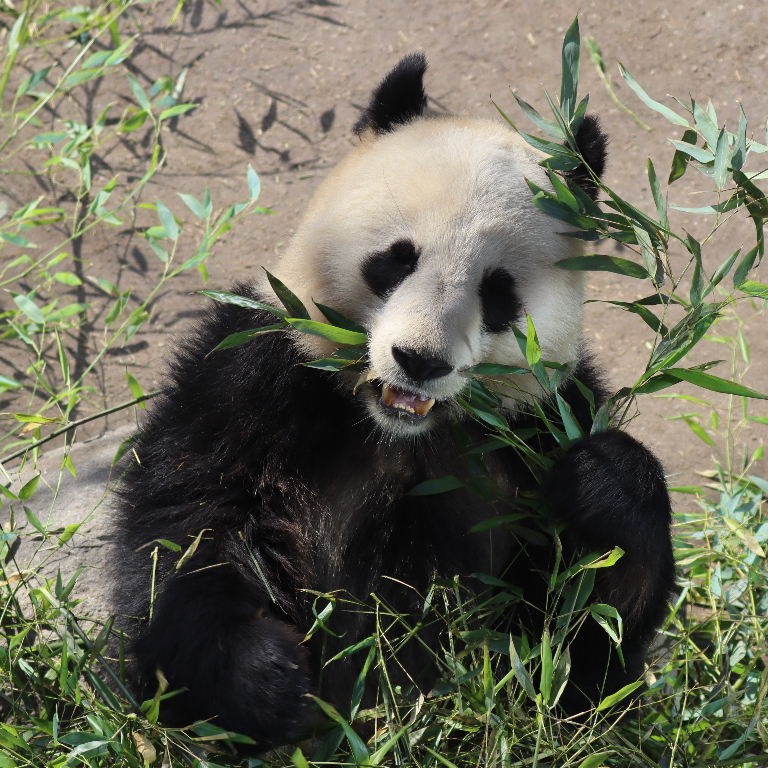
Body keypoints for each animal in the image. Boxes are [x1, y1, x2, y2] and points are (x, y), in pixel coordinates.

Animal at [112, 54, 675, 744]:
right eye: (396, 259)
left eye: (498, 292)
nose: (420, 360)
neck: (394, 431)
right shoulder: (255, 376)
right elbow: (184, 527)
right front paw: (269, 680)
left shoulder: (539, 422)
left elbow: (581, 647)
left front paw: (601, 481)